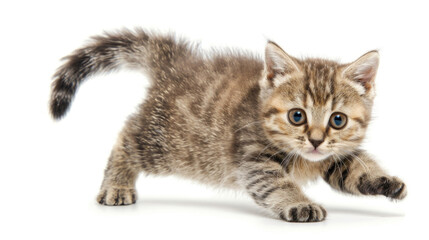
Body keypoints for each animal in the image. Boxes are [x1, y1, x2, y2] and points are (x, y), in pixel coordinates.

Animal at [49, 29, 404, 222]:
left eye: (337, 120)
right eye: (297, 116)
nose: (315, 141)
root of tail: (176, 62)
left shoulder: (334, 157)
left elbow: (354, 171)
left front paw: (385, 180)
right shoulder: (253, 158)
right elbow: (277, 183)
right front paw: (299, 202)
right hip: (168, 144)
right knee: (127, 135)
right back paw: (117, 184)